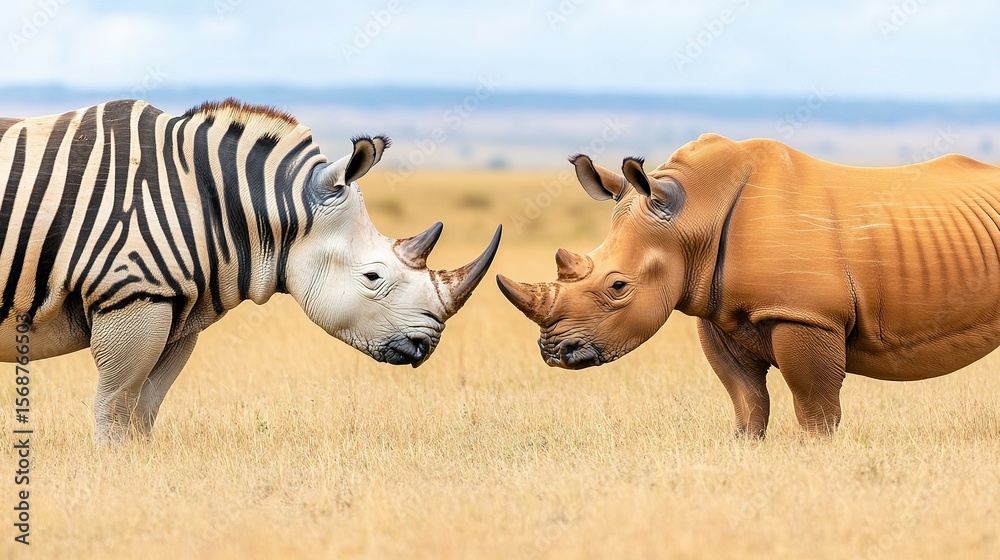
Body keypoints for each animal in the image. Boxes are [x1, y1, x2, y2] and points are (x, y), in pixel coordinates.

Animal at [0, 98, 502, 443]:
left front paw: (137, 468)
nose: (425, 346)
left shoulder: (175, 307)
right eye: (373, 278)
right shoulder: (131, 294)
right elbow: (116, 404)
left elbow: (144, 407)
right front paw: (114, 473)